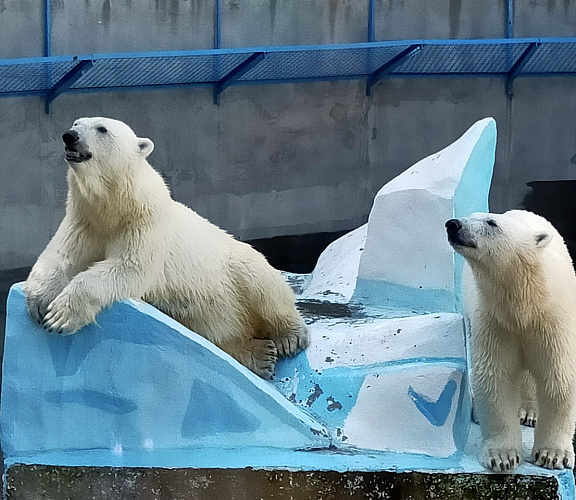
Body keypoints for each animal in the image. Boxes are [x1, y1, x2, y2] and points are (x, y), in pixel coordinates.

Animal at [23, 117, 310, 380]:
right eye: (76, 123)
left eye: (102, 129)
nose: (69, 136)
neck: (115, 205)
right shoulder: (83, 221)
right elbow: (61, 255)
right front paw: (39, 301)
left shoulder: (145, 223)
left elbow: (128, 268)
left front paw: (60, 316)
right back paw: (259, 356)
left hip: (233, 267)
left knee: (259, 280)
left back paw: (289, 336)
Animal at [446, 211, 576, 472]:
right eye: (471, 215)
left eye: (491, 223)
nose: (453, 224)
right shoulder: (495, 323)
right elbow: (496, 378)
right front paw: (502, 457)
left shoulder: (553, 322)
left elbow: (558, 377)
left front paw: (552, 455)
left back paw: (531, 413)